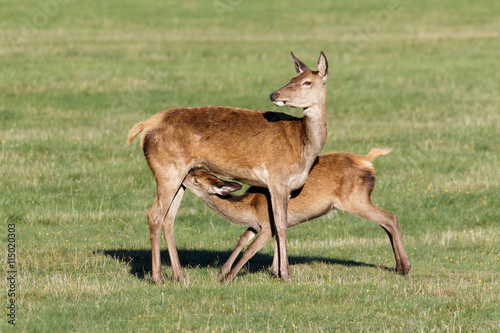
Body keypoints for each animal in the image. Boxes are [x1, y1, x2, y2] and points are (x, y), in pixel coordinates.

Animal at [127, 52, 328, 282]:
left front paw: (276, 271)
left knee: (168, 218)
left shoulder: (287, 186)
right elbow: (281, 224)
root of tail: (145, 127)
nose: (274, 94)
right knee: (155, 216)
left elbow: (278, 223)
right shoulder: (278, 177)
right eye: (292, 78)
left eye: (306, 81)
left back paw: (180, 275)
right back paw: (157, 277)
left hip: (181, 175)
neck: (304, 146)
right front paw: (285, 274)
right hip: (167, 170)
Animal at [184, 148, 410, 280]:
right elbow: (241, 240)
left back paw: (405, 267)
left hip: (354, 199)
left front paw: (229, 277)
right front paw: (223, 271)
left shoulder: (267, 225)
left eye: (196, 179)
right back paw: (399, 266)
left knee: (390, 218)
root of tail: (366, 160)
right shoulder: (256, 225)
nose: (184, 176)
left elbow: (251, 248)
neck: (249, 207)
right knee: (386, 222)